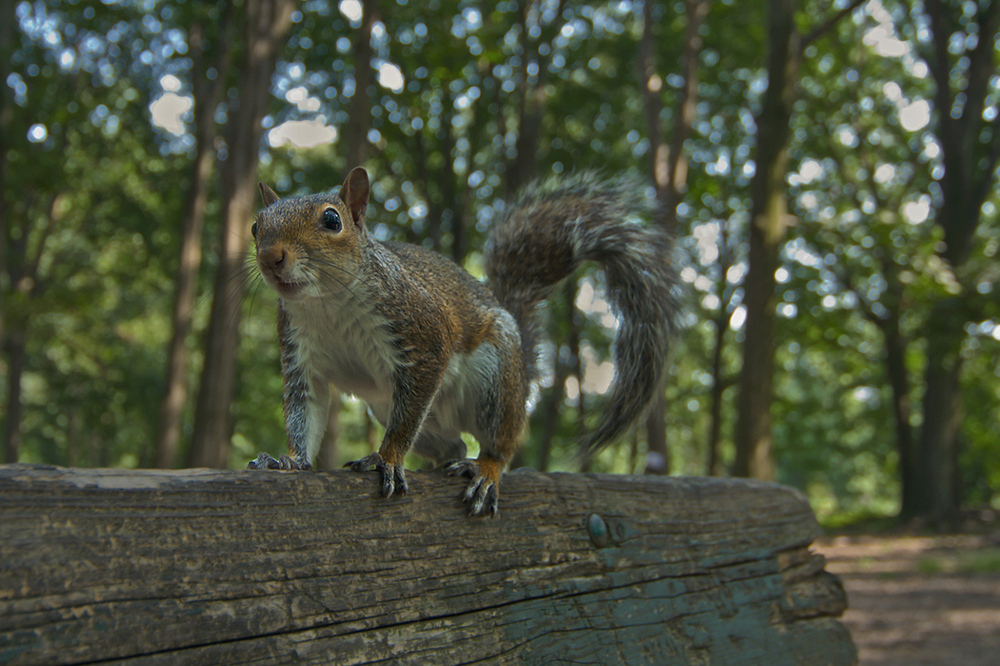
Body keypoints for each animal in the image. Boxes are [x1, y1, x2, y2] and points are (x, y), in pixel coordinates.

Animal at [248, 165, 680, 512]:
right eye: (255, 226)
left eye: (332, 220)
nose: (270, 257)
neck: (326, 303)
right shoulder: (301, 357)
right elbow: (305, 412)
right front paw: (292, 461)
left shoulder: (423, 333)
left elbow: (408, 413)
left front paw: (386, 458)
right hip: (392, 410)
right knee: (452, 445)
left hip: (494, 379)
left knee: (500, 444)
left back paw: (484, 470)